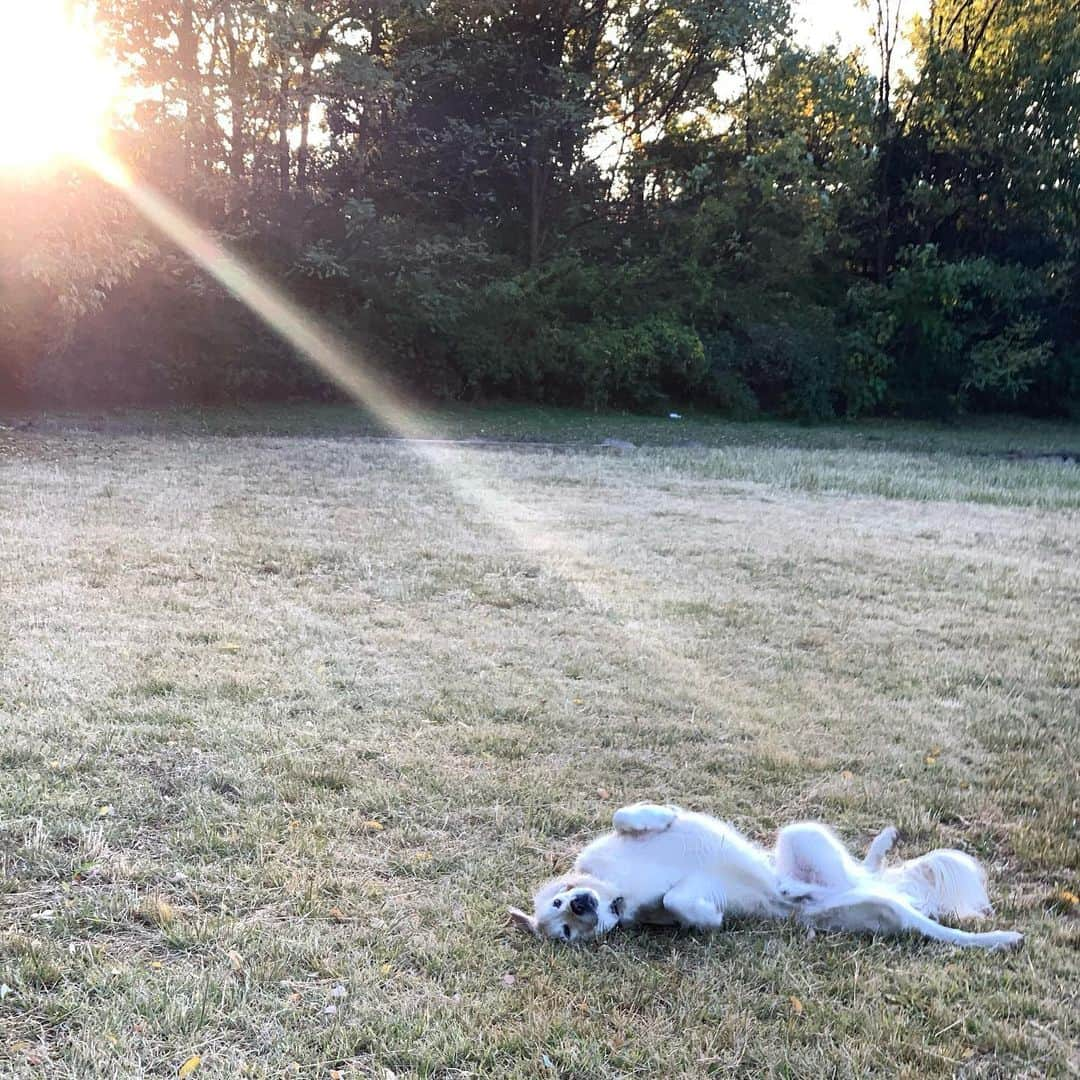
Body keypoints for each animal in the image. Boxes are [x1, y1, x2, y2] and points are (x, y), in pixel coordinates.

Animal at [509, 803, 1023, 954]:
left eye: (559, 903)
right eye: (566, 932)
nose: (582, 907)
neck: (621, 893)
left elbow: (626, 816)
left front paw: (658, 814)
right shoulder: (668, 905)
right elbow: (680, 903)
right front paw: (709, 917)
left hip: (803, 834)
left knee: (864, 869)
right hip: (848, 906)